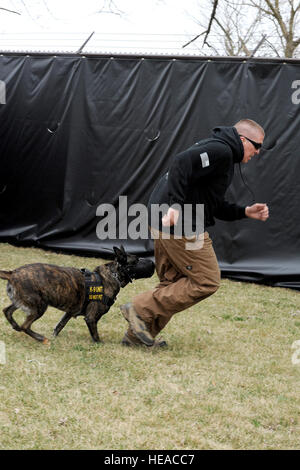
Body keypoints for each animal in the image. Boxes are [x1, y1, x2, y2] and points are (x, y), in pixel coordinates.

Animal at [0, 246, 154, 346]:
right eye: (136, 260)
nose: (153, 263)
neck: (113, 275)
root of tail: (12, 273)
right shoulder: (91, 318)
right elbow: (96, 336)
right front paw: (100, 344)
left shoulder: (69, 312)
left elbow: (59, 326)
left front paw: (54, 336)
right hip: (39, 306)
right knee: (25, 326)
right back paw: (40, 338)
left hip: (24, 302)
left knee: (7, 311)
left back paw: (15, 326)